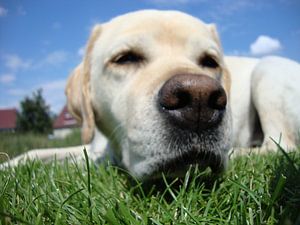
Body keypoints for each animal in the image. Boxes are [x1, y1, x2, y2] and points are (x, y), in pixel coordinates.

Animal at [2, 10, 300, 180]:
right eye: (124, 58)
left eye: (210, 61)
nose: (199, 101)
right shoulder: (92, 146)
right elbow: (35, 152)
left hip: (267, 70)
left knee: (280, 146)